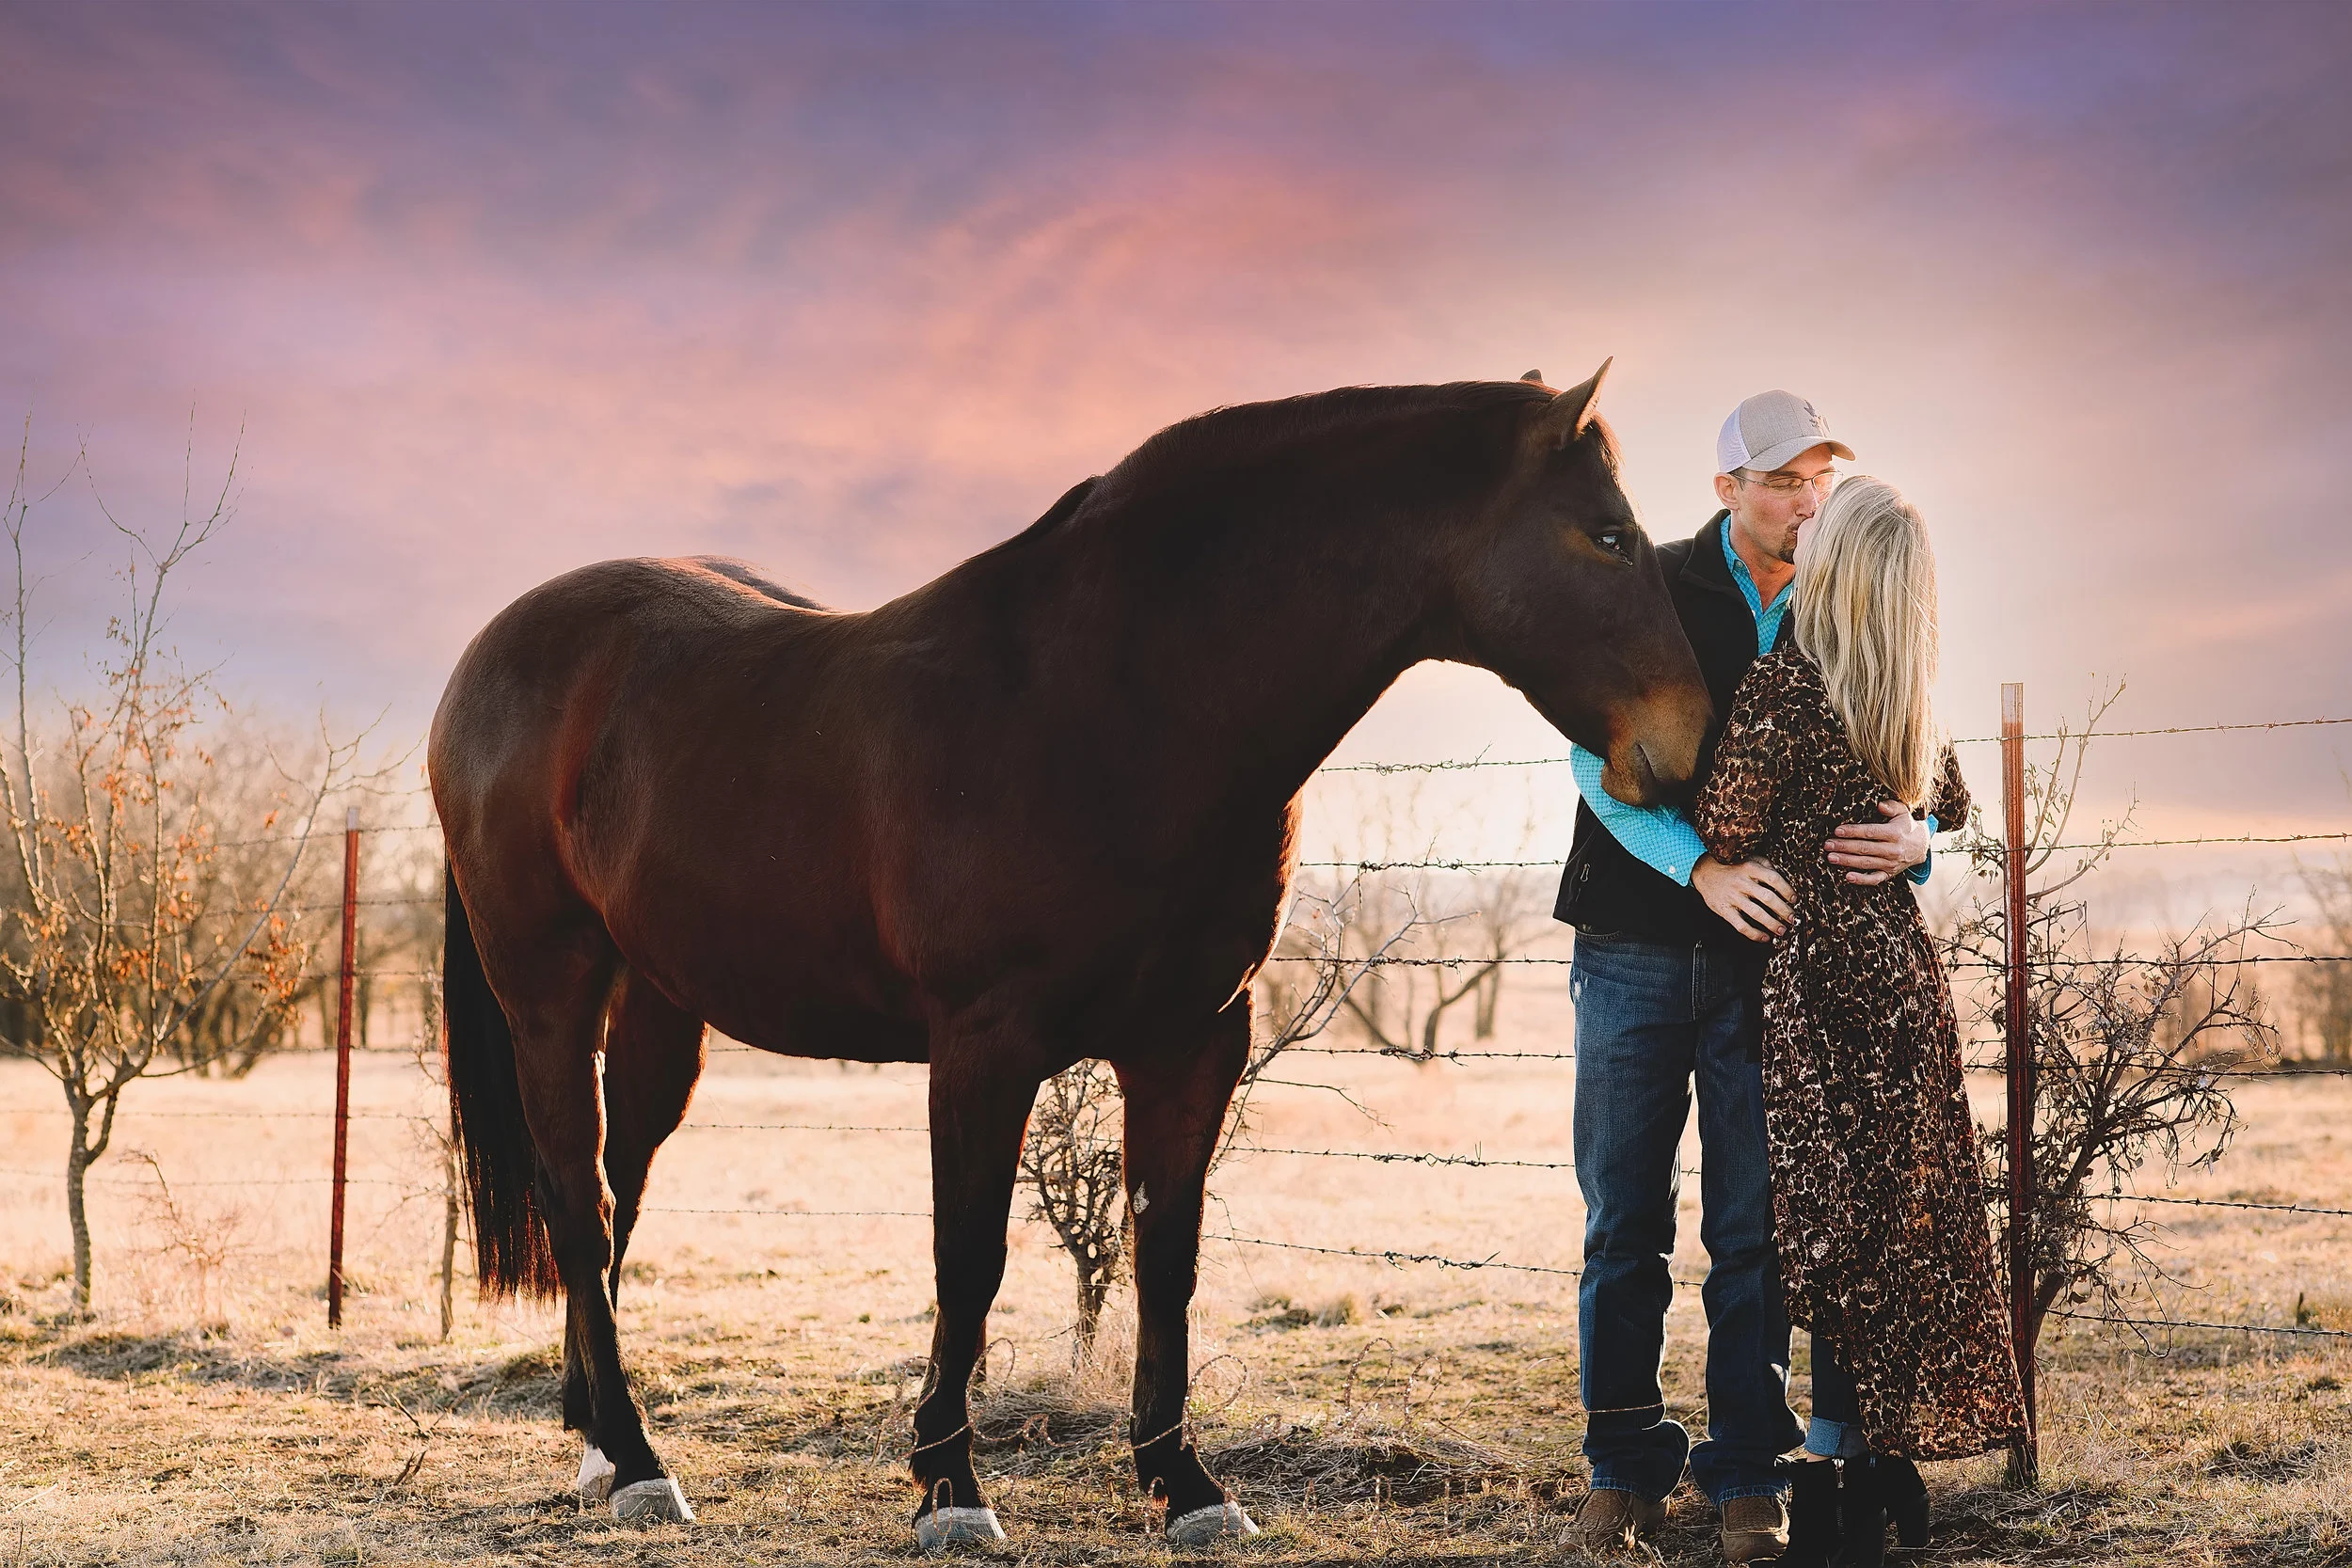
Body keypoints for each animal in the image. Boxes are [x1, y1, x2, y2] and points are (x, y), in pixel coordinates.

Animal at [430, 362, 1711, 1545]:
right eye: (1607, 535)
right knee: (576, 1197)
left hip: (658, 999)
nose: (1692, 743)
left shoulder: (1193, 1040)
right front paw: (950, 1487)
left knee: (617, 1185)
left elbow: (1167, 1255)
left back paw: (597, 1441)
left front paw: (1185, 1483)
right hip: (548, 988)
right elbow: (970, 1257)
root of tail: (498, 652)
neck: (1113, 700)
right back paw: (639, 1462)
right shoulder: (982, 1045)